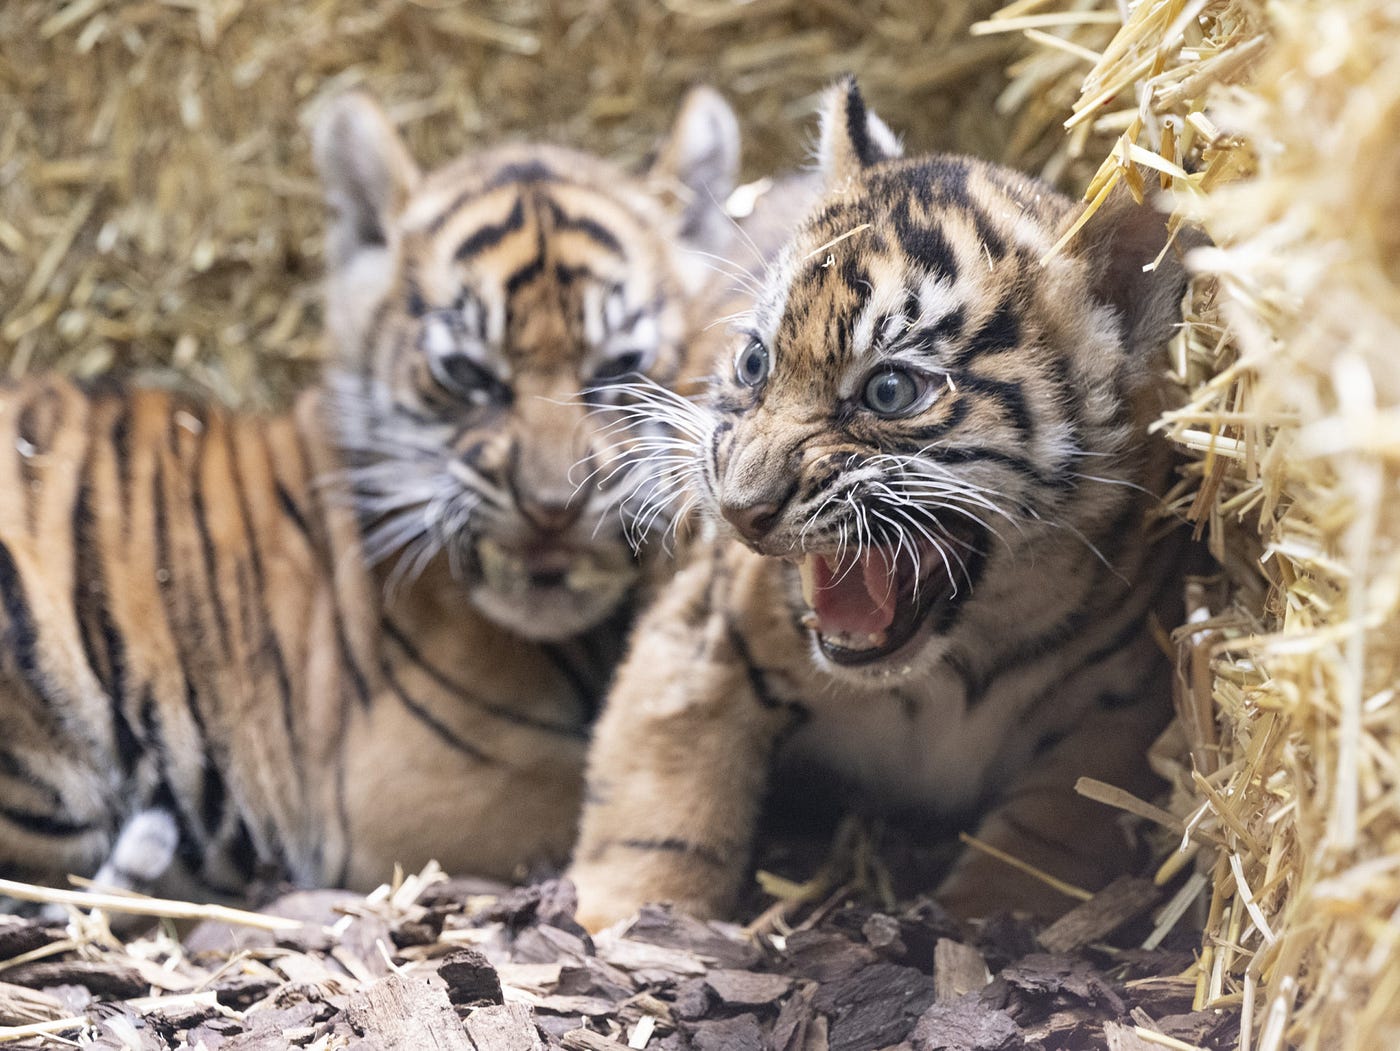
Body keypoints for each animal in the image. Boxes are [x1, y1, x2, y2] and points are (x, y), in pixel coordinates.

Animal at [567, 78, 1198, 929]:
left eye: (890, 390)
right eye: (756, 361)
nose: (738, 510)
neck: (952, 663)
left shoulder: (1117, 704)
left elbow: (1050, 833)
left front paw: (987, 916)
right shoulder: (701, 634)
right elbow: (663, 793)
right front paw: (625, 916)